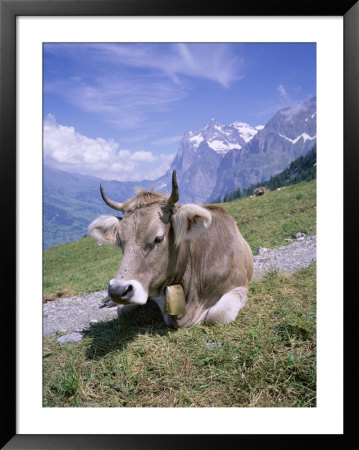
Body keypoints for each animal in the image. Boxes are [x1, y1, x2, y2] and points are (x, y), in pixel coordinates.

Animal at [88, 171, 255, 328]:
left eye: (158, 239)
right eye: (121, 242)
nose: (116, 290)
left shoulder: (239, 286)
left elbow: (218, 315)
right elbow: (123, 310)